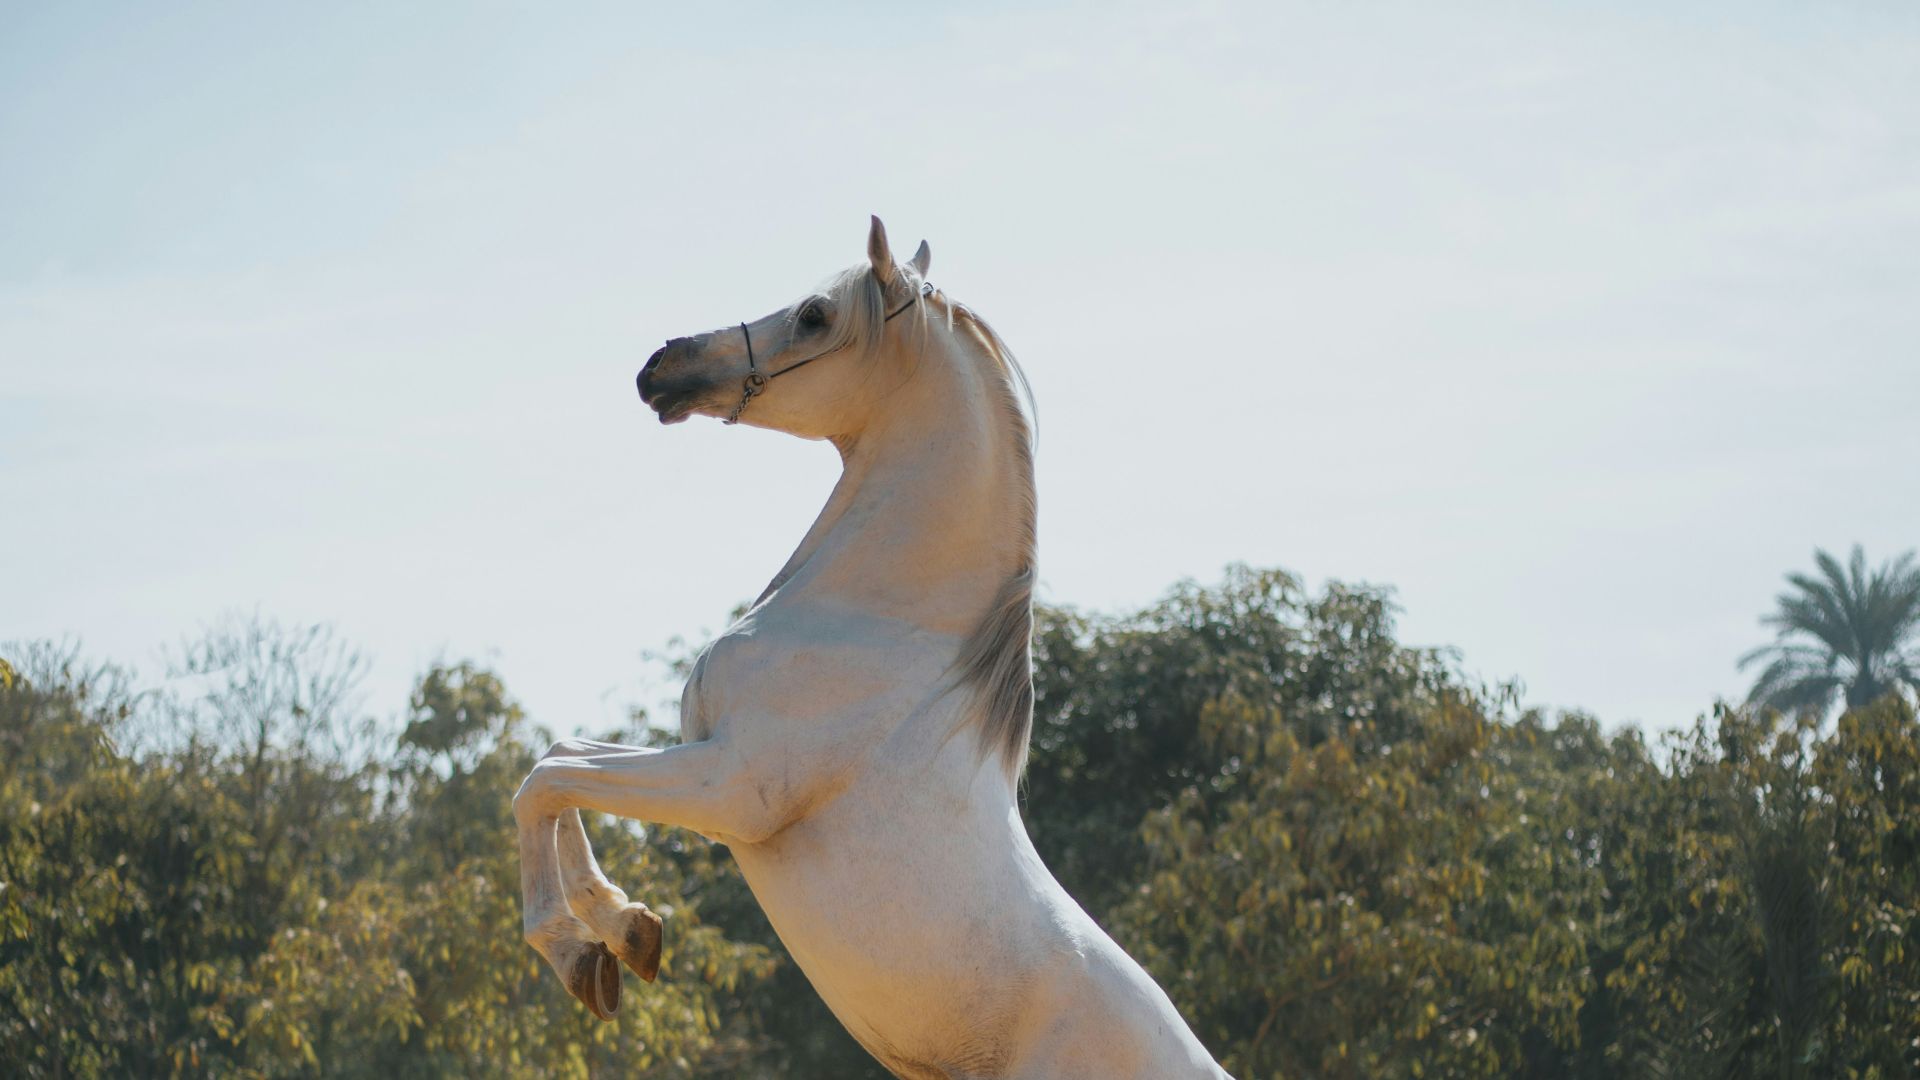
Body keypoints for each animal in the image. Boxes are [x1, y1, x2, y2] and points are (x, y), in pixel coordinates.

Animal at [513, 217, 1228, 1078]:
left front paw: (588, 953)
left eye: (816, 315)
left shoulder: (730, 788)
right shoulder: (702, 761)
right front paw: (626, 930)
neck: (879, 617)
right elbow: (557, 761)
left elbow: (546, 784)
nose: (663, 365)